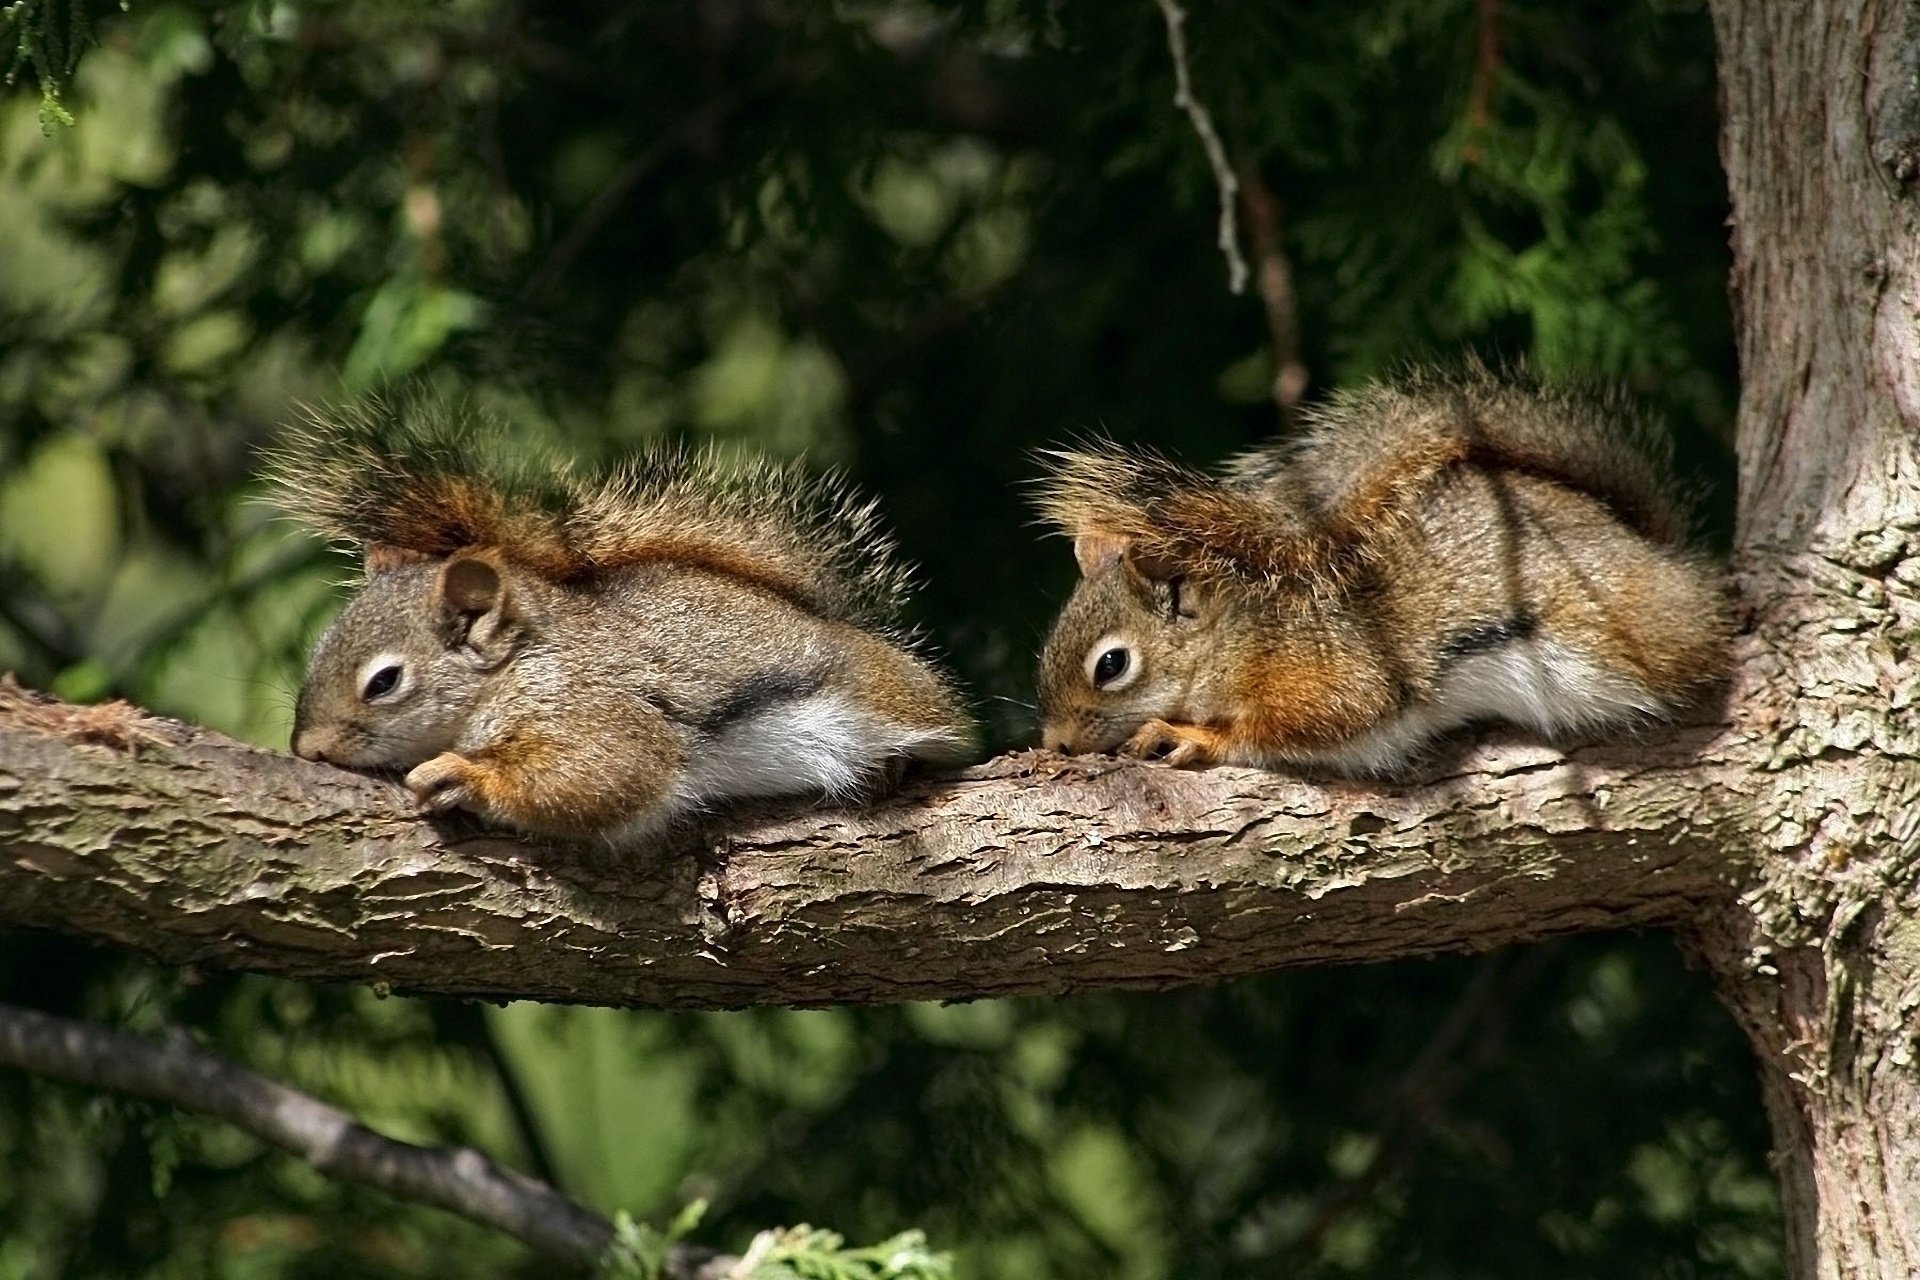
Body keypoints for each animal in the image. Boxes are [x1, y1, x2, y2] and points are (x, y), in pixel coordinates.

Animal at [268, 397, 974, 846]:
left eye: (384, 682)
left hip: (891, 698)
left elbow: (612, 771)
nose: (308, 750)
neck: (513, 668)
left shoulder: (592, 705)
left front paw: (462, 776)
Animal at [1033, 364, 1730, 773]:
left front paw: (1190, 735)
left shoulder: (1331, 671)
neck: (1241, 633)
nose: (1055, 743)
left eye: (1111, 665)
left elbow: (1312, 722)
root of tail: (1661, 553)